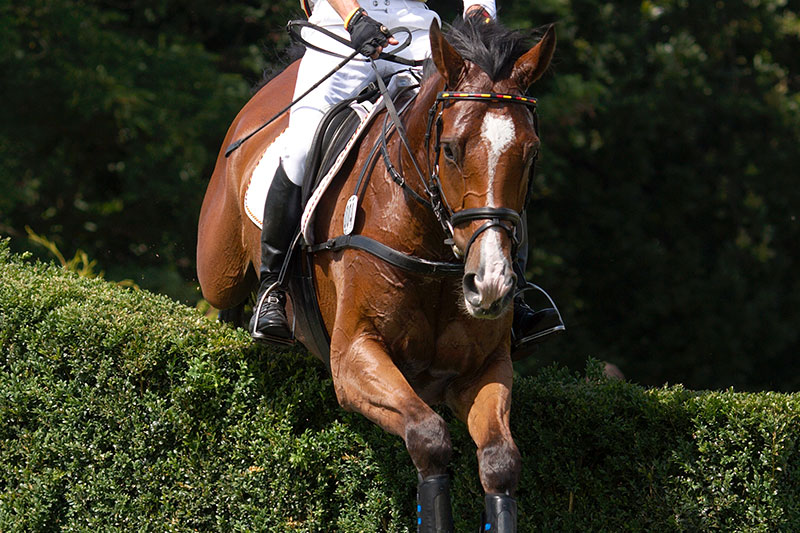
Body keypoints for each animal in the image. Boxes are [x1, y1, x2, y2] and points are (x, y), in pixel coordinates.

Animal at [197, 18, 555, 532]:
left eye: (530, 154)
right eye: (450, 149)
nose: (489, 285)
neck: (432, 245)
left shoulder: (483, 369)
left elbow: (500, 461)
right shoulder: (352, 359)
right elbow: (429, 437)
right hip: (217, 266)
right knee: (221, 293)